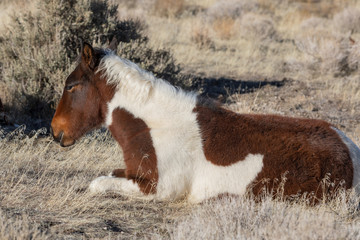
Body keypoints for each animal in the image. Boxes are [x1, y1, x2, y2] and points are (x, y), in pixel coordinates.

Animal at [50, 42, 360, 203]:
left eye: (71, 86)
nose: (55, 131)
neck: (156, 126)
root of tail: (349, 148)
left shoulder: (158, 189)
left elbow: (97, 183)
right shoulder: (134, 174)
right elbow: (107, 176)